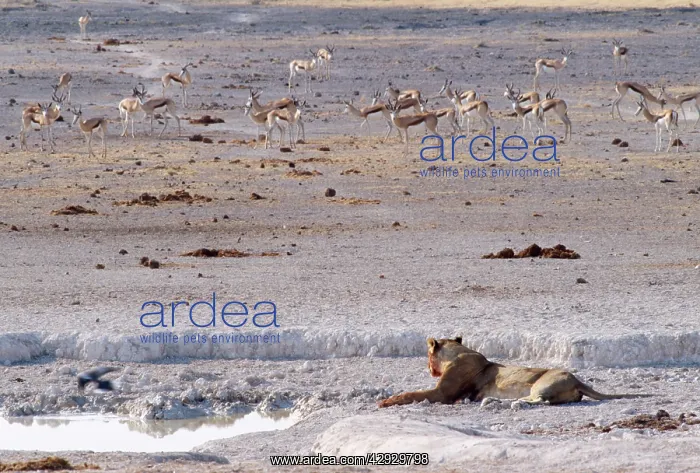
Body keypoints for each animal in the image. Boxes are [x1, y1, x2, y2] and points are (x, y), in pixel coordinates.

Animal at [378, 337, 651, 408]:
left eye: (428, 356)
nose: (428, 368)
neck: (458, 352)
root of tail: (577, 379)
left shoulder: (443, 394)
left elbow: (412, 394)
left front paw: (386, 401)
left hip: (541, 383)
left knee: (538, 400)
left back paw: (504, 402)